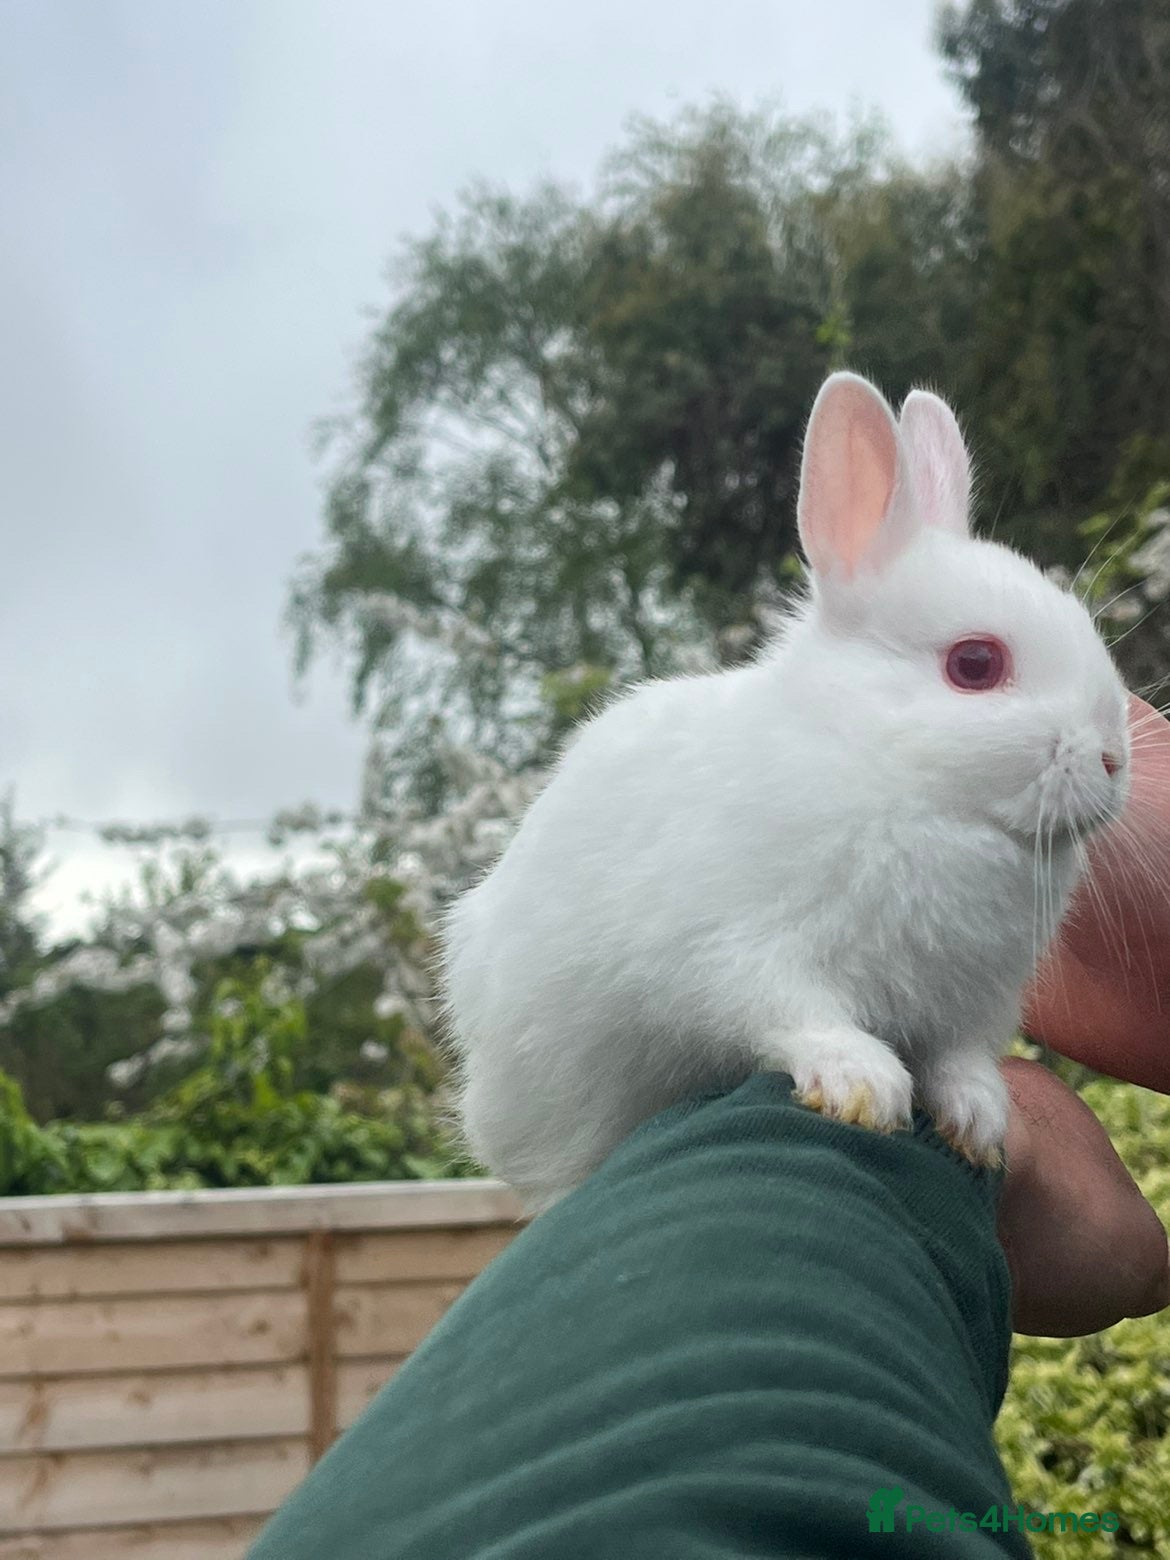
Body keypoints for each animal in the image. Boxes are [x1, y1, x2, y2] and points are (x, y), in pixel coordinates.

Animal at [442, 372, 1131, 1211]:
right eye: (975, 664)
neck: (900, 782)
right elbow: (795, 1015)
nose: (1112, 760)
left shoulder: (970, 1007)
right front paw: (862, 1084)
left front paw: (978, 1122)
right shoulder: (740, 954)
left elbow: (960, 1060)